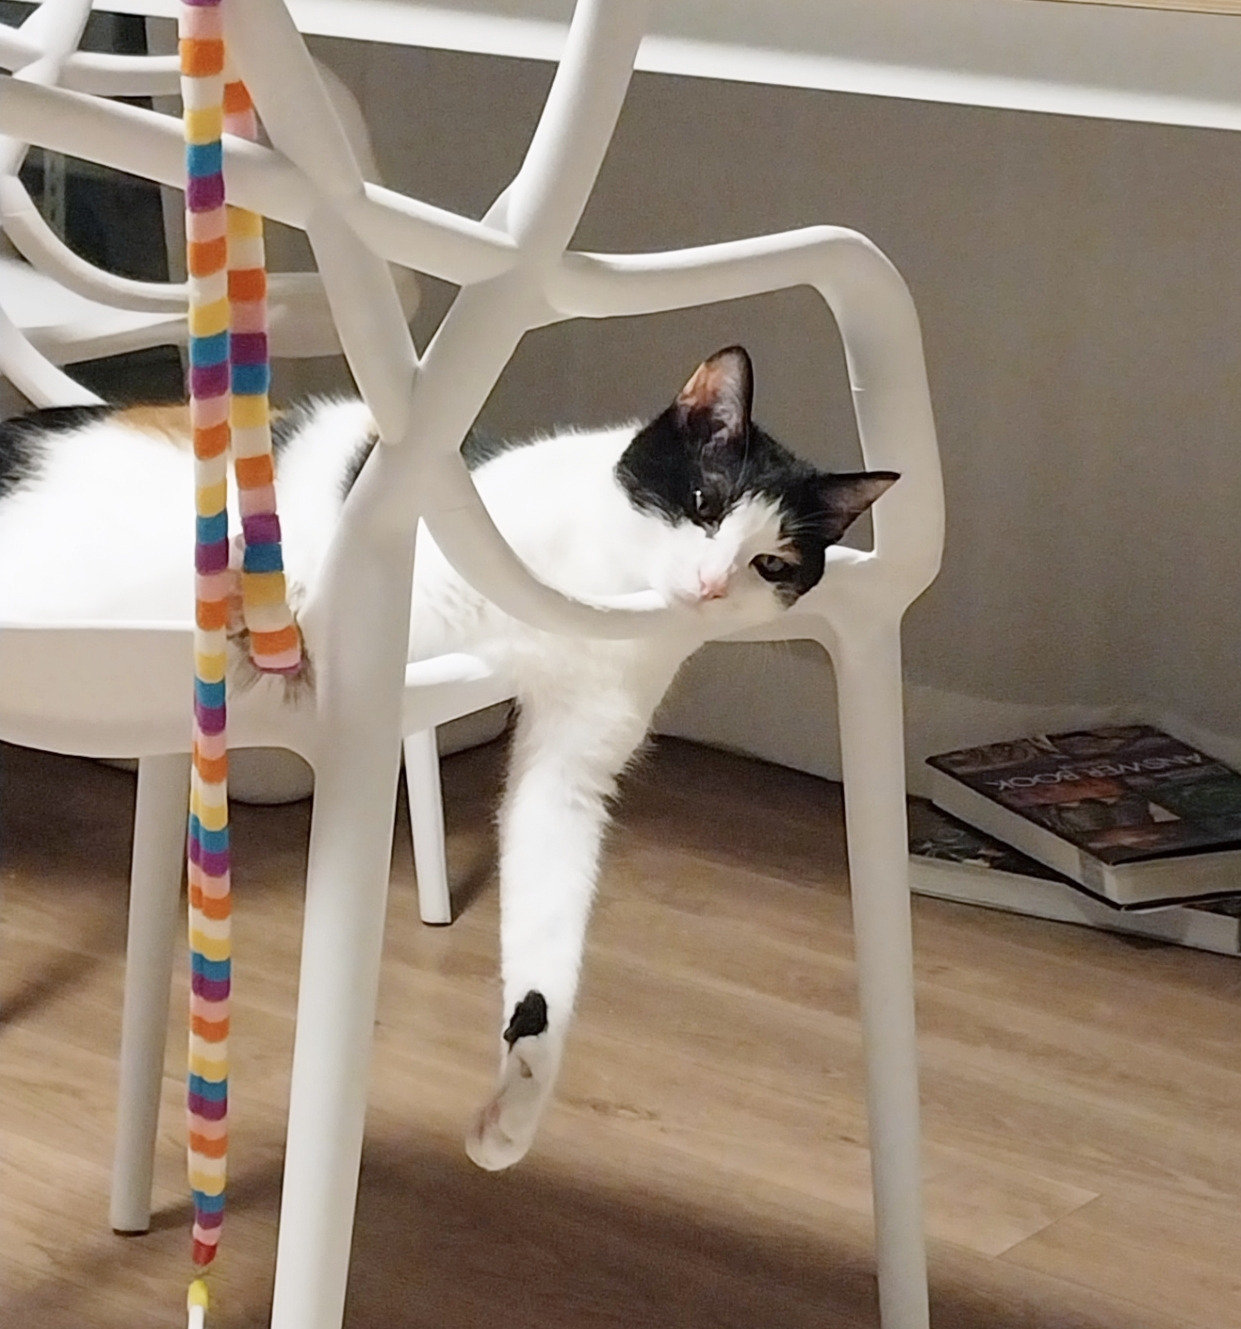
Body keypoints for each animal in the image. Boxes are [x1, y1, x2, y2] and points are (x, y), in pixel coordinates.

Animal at [0, 344, 896, 1170]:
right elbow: (312, 607)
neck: (604, 586)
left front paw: (518, 1099)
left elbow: (550, 933)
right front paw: (270, 623)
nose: (710, 585)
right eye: (705, 503)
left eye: (772, 562)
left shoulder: (571, 765)